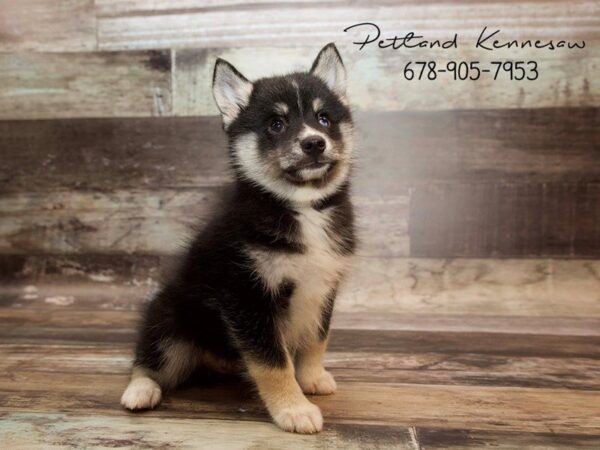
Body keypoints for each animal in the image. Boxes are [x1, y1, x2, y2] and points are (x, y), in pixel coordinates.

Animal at [122, 44, 356, 434]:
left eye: (324, 118)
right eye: (276, 124)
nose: (314, 143)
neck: (301, 206)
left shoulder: (323, 288)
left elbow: (316, 339)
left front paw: (311, 377)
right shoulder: (247, 296)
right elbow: (273, 362)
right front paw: (293, 409)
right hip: (169, 323)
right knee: (149, 359)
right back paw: (140, 389)